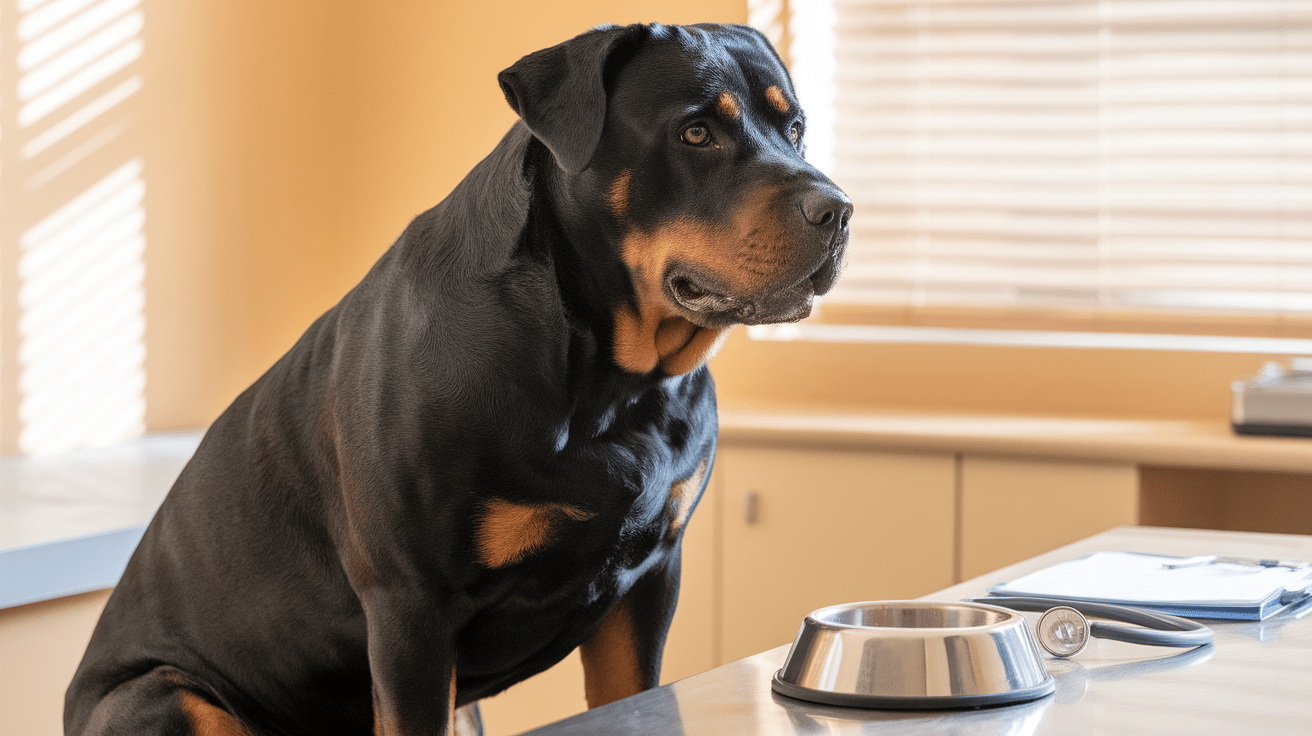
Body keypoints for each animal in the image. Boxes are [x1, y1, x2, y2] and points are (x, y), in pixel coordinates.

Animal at [66, 22, 850, 734]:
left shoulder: (650, 582)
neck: (610, 379)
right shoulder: (411, 607)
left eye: (796, 129)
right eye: (695, 132)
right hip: (167, 697)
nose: (837, 209)